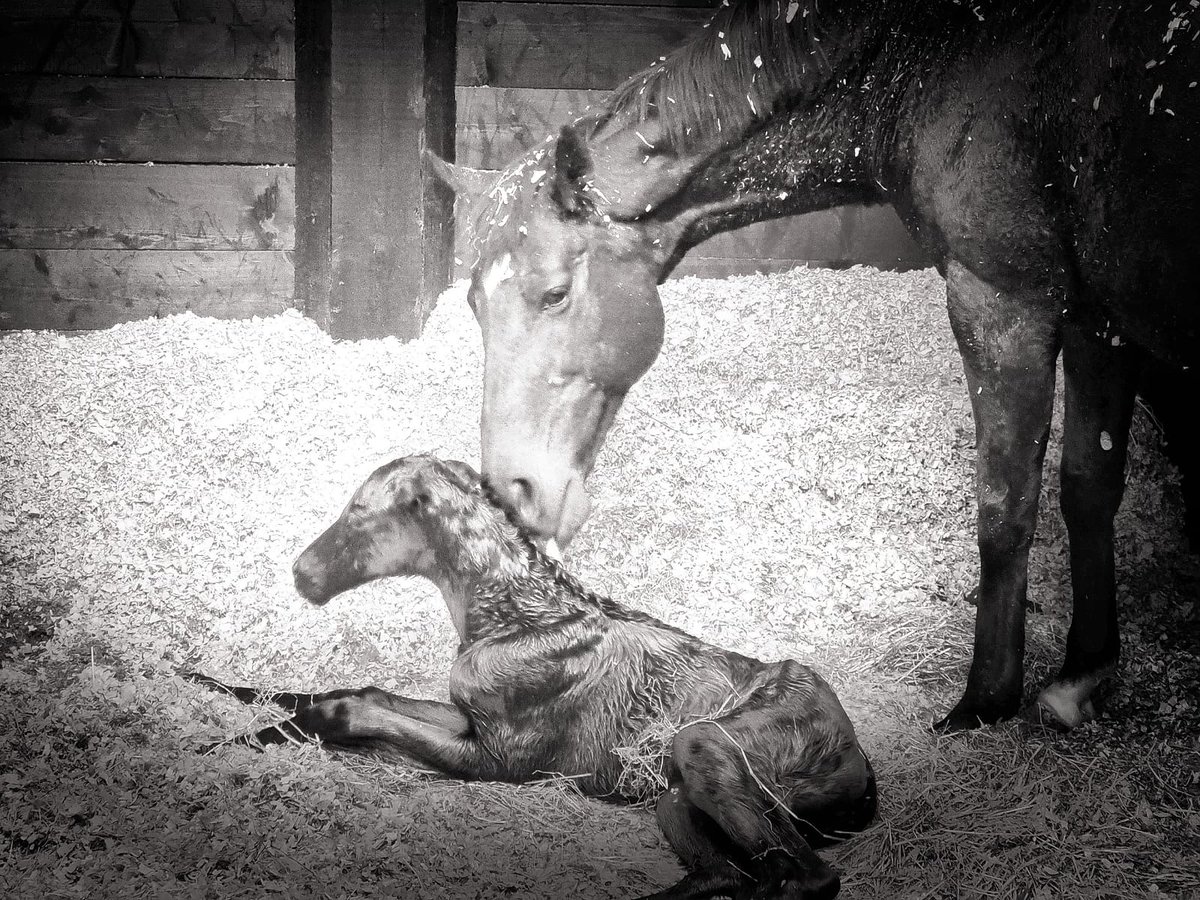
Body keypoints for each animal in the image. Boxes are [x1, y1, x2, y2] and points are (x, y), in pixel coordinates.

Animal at [189, 455, 877, 900]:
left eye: (360, 511)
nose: (301, 575)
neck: (517, 617)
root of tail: (861, 770)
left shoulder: (495, 759)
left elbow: (348, 711)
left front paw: (226, 746)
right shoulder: (467, 720)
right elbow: (361, 695)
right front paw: (207, 685)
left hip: (705, 743)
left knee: (807, 878)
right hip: (676, 794)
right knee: (730, 874)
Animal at [425, 0, 1200, 733]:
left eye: (554, 293)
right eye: (473, 303)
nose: (515, 489)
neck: (937, 56)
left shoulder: (1002, 300)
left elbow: (1006, 504)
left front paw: (985, 701)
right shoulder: (1097, 318)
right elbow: (1089, 486)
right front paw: (1082, 676)